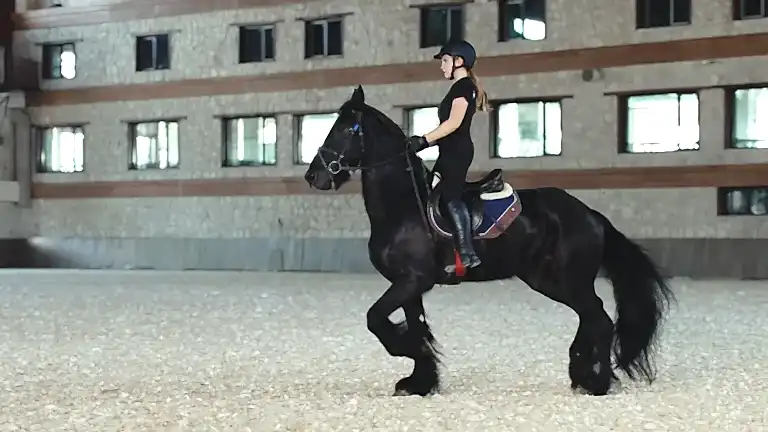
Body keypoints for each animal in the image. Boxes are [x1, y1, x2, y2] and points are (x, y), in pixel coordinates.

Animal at [302, 85, 675, 397]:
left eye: (345, 129)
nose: (313, 176)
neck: (404, 207)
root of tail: (590, 215)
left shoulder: (412, 281)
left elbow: (376, 319)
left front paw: (404, 351)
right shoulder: (409, 285)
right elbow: (417, 327)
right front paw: (420, 381)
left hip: (568, 280)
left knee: (600, 320)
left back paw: (597, 382)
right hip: (549, 280)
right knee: (591, 317)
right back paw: (582, 373)